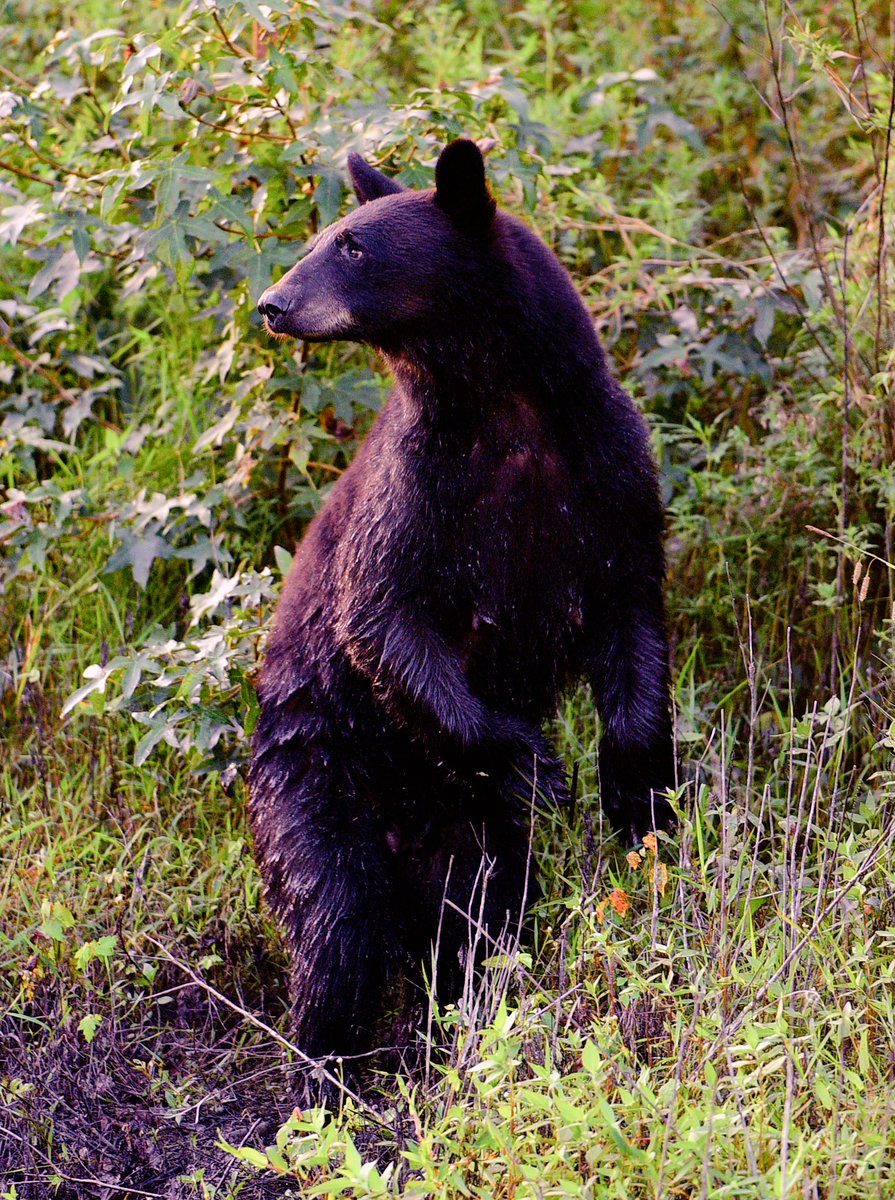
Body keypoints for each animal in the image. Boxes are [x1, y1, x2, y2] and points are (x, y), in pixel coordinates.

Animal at [249, 142, 671, 1070]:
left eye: (354, 245)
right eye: (325, 235)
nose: (272, 303)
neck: (507, 405)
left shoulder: (610, 475)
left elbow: (634, 617)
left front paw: (633, 788)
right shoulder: (418, 488)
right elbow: (382, 614)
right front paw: (535, 761)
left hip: (469, 838)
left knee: (479, 915)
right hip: (314, 785)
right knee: (334, 924)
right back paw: (326, 1070)